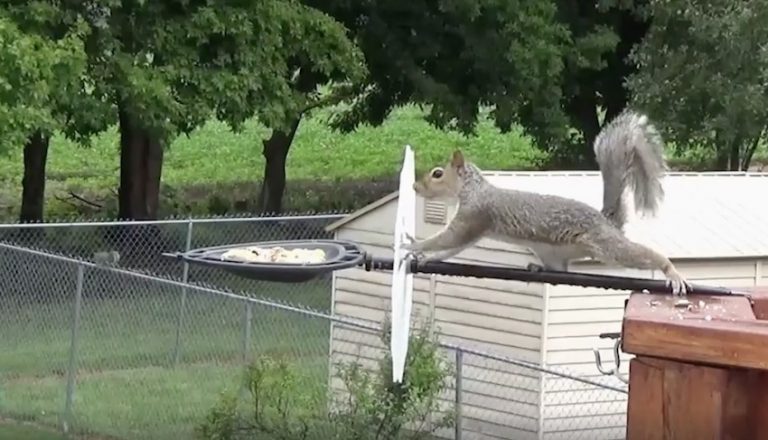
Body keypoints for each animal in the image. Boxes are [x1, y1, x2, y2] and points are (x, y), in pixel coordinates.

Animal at [401, 109, 691, 296]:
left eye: (437, 174)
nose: (415, 186)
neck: (473, 189)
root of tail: (606, 220)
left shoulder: (474, 216)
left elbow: (449, 238)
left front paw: (415, 245)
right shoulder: (474, 226)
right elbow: (454, 247)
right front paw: (427, 256)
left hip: (604, 244)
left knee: (640, 254)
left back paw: (671, 272)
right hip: (553, 253)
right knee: (560, 269)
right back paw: (538, 267)